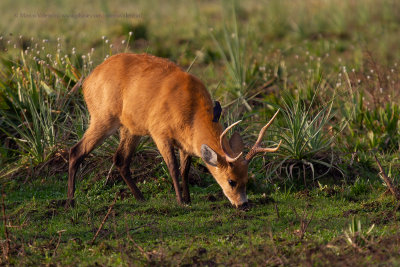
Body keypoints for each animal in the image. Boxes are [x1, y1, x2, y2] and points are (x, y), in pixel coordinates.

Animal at [68, 53, 282, 210]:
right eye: (231, 181)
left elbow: (184, 170)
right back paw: (70, 201)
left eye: (247, 179)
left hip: (130, 128)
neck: (191, 110)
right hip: (103, 117)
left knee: (120, 159)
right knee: (76, 151)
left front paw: (188, 199)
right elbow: (172, 167)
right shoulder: (159, 133)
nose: (243, 204)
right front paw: (180, 201)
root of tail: (86, 82)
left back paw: (141, 198)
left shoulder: (185, 142)